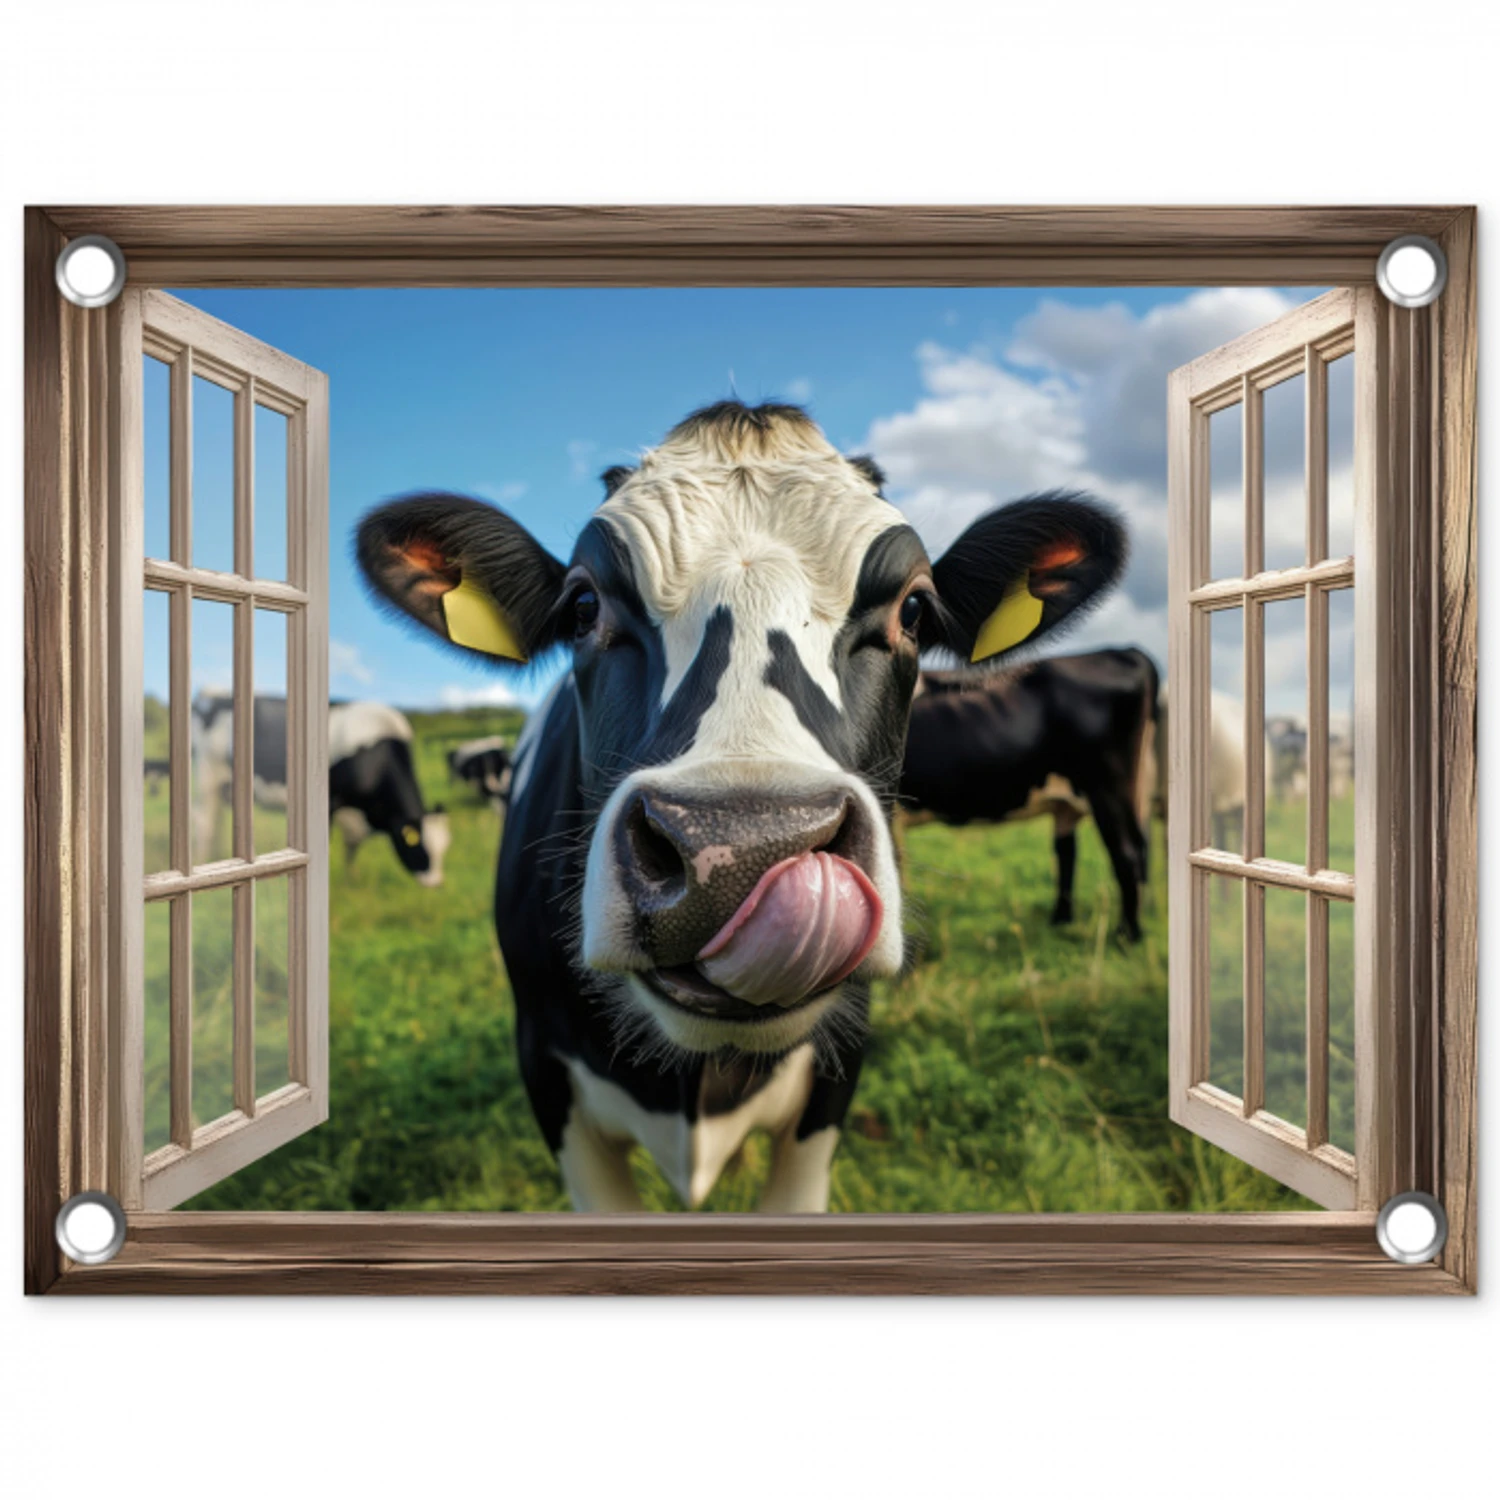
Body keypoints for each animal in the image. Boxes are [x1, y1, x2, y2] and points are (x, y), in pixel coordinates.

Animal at [190, 694, 450, 886]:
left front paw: (351, 879)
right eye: (419, 847)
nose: (436, 883)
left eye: (444, 848)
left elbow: (351, 849)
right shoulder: (332, 802)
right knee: (204, 824)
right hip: (207, 778)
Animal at [897, 648, 1159, 941]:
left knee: (1126, 854)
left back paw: (1127, 935)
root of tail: (1125, 651)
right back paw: (1062, 922)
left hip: (1107, 786)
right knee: (1072, 852)